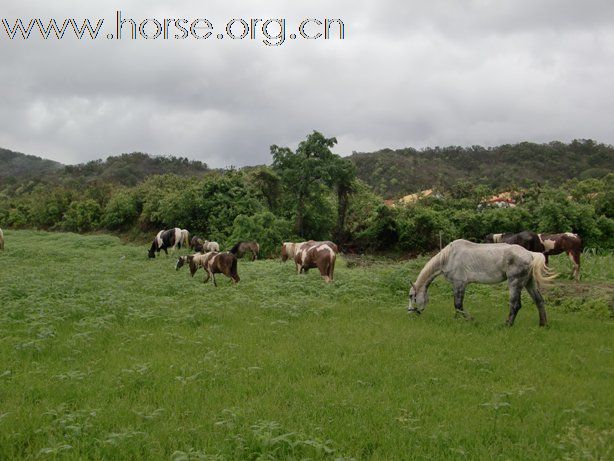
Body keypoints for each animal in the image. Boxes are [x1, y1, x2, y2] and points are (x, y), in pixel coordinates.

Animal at [410, 239, 560, 326]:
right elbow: (457, 306)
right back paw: (543, 324)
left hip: (515, 283)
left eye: (412, 296)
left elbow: (458, 304)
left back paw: (507, 324)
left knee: (515, 305)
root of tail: (530, 254)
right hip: (529, 283)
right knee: (539, 301)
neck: (449, 256)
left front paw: (469, 320)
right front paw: (458, 320)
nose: (411, 312)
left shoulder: (459, 284)